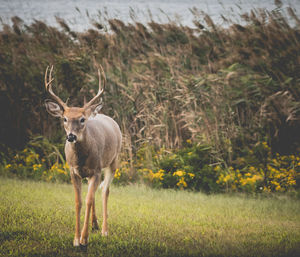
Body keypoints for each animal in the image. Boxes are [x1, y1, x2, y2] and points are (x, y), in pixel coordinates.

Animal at [44, 65, 121, 245]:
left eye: (82, 119)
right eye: (64, 119)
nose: (71, 136)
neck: (80, 159)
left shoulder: (96, 170)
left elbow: (88, 200)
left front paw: (84, 239)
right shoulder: (73, 171)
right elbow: (79, 201)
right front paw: (76, 239)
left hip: (113, 161)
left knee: (105, 191)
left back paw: (104, 230)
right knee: (95, 192)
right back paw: (95, 224)